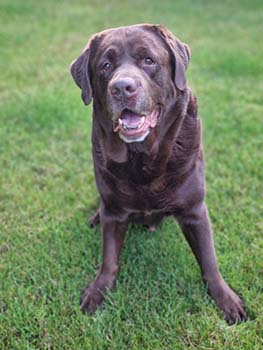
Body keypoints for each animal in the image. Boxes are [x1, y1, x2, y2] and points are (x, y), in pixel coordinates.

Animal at [70, 23, 248, 326]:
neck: (143, 158)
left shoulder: (194, 210)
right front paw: (99, 290)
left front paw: (226, 298)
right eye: (106, 66)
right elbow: (109, 258)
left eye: (148, 60)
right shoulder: (114, 212)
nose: (122, 87)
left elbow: (209, 259)